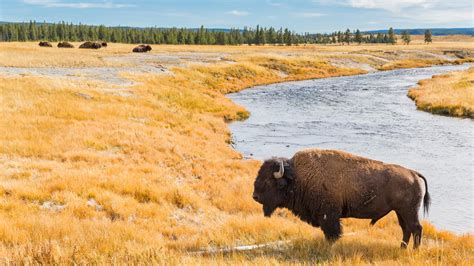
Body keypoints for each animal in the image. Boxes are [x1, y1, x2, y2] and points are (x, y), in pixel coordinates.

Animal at [254, 149, 432, 248]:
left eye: (268, 180)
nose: (255, 196)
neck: (298, 177)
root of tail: (413, 173)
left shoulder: (329, 216)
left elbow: (333, 233)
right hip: (399, 212)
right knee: (406, 229)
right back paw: (402, 248)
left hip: (408, 211)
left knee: (416, 228)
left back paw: (414, 250)